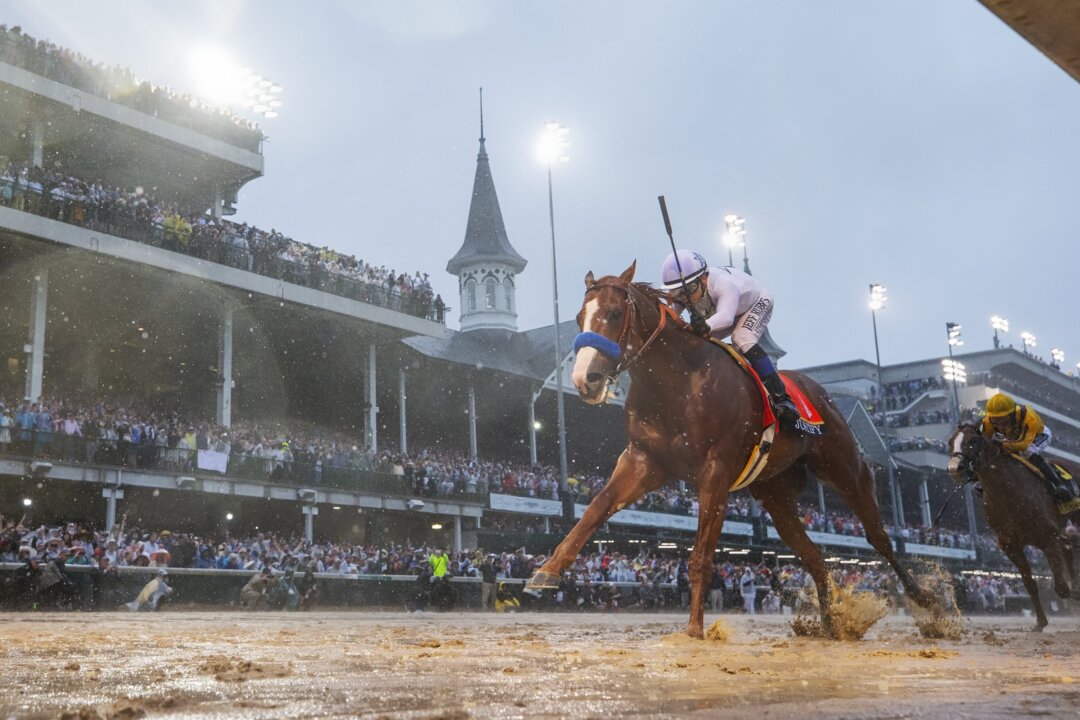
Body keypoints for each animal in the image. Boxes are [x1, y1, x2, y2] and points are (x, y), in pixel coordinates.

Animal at [527, 264, 933, 634]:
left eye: (613, 313)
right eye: (579, 317)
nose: (585, 379)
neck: (677, 381)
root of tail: (820, 392)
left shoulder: (715, 471)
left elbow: (701, 556)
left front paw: (694, 630)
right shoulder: (643, 461)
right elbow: (595, 509)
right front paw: (546, 571)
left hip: (844, 468)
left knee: (879, 537)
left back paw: (927, 604)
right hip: (776, 495)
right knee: (814, 557)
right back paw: (833, 625)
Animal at [946, 423, 1080, 630]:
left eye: (973, 440)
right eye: (950, 441)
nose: (954, 468)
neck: (1008, 493)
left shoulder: (1048, 538)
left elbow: (1061, 588)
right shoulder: (1011, 545)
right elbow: (1030, 583)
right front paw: (1041, 622)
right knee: (1068, 552)